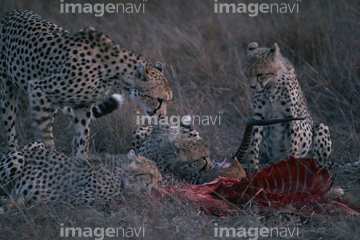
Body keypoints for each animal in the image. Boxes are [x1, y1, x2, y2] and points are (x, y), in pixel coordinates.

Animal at [0, 9, 173, 156]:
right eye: (159, 100)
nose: (162, 117)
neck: (114, 71)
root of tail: (11, 12)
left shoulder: (83, 103)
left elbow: (83, 135)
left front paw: (81, 160)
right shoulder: (38, 88)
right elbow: (44, 133)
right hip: (7, 90)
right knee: (11, 124)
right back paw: (13, 151)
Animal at [0, 142, 161, 205]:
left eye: (159, 181)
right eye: (150, 176)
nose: (155, 189)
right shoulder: (78, 196)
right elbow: (109, 199)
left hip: (36, 144)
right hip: (18, 157)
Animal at [242, 42, 332, 172]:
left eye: (259, 74)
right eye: (247, 74)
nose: (252, 86)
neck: (272, 83)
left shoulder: (292, 116)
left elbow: (293, 141)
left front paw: (293, 160)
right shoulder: (258, 116)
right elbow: (254, 143)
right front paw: (253, 165)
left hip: (321, 127)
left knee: (319, 161)